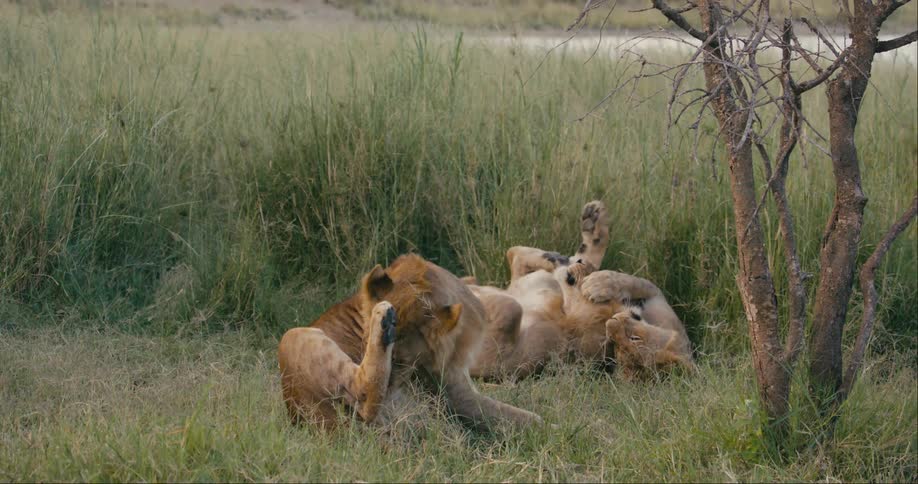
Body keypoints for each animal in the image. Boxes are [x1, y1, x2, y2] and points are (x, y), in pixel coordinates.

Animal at [278, 254, 542, 430]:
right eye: (361, 344)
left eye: (401, 361)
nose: (391, 396)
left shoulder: (454, 391)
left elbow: (519, 416)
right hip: (292, 336)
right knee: (364, 398)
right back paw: (383, 316)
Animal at [467, 201, 694, 380]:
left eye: (632, 341)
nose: (615, 322)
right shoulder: (657, 301)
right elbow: (635, 282)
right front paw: (596, 280)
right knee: (517, 255)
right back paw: (588, 228)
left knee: (515, 280)